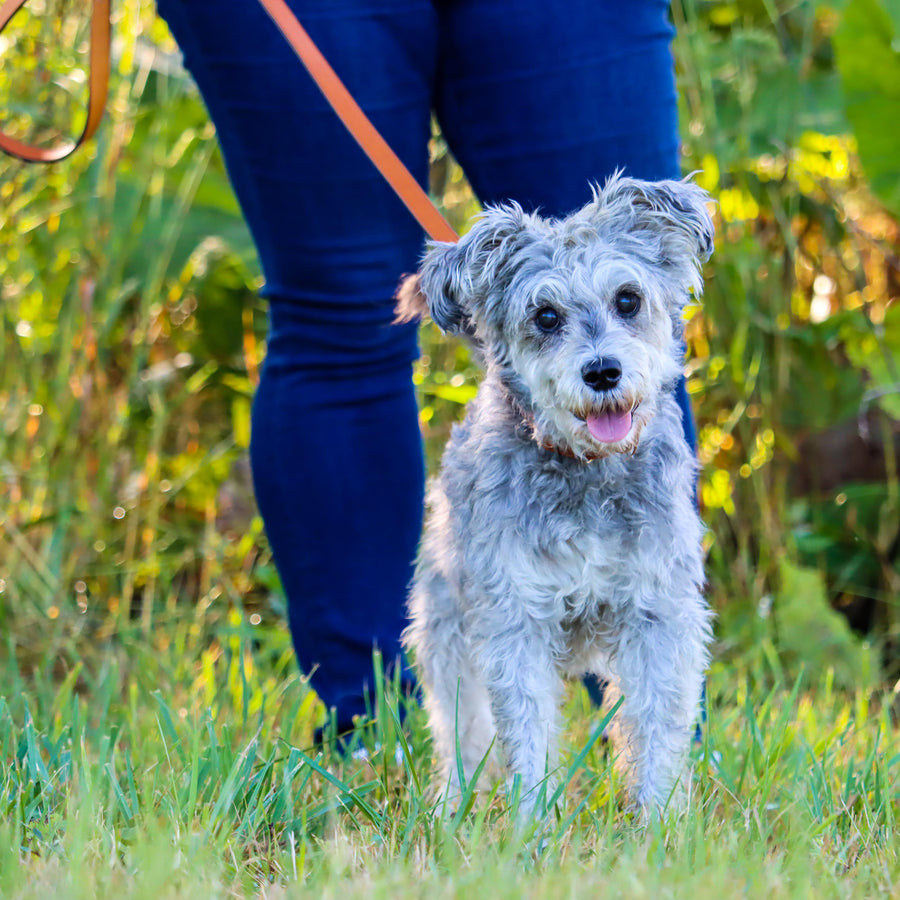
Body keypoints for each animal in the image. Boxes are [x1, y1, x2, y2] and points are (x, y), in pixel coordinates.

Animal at [400, 174, 716, 816]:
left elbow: (657, 724)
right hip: (446, 628)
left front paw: (661, 820)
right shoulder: (515, 620)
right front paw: (532, 825)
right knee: (459, 729)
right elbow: (526, 732)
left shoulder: (657, 614)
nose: (602, 372)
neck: (588, 473)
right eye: (545, 316)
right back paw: (451, 805)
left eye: (628, 299)